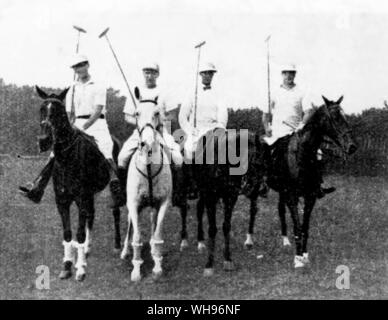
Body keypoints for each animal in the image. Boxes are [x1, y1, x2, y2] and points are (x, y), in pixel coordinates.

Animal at [34, 87, 123, 280]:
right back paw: (88, 250)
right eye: (41, 109)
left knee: (116, 212)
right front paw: (67, 265)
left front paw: (80, 269)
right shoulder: (62, 201)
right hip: (90, 195)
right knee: (92, 215)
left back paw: (118, 246)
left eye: (59, 112)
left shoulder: (81, 198)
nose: (44, 141)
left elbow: (79, 234)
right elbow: (68, 234)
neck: (67, 158)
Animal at [119, 91, 172, 282]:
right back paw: (125, 252)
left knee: (153, 223)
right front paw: (136, 269)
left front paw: (157, 265)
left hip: (152, 205)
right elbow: (136, 236)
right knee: (130, 226)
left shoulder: (163, 203)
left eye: (157, 113)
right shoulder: (134, 204)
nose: (147, 143)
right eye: (136, 113)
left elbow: (157, 234)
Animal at [247, 95, 356, 268]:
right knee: (253, 210)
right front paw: (297, 259)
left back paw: (285, 241)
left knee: (280, 210)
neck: (302, 155)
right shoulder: (293, 196)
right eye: (335, 117)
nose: (352, 146)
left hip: (282, 191)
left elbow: (305, 227)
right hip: (257, 186)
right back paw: (249, 240)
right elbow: (297, 227)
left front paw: (304, 255)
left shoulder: (310, 196)